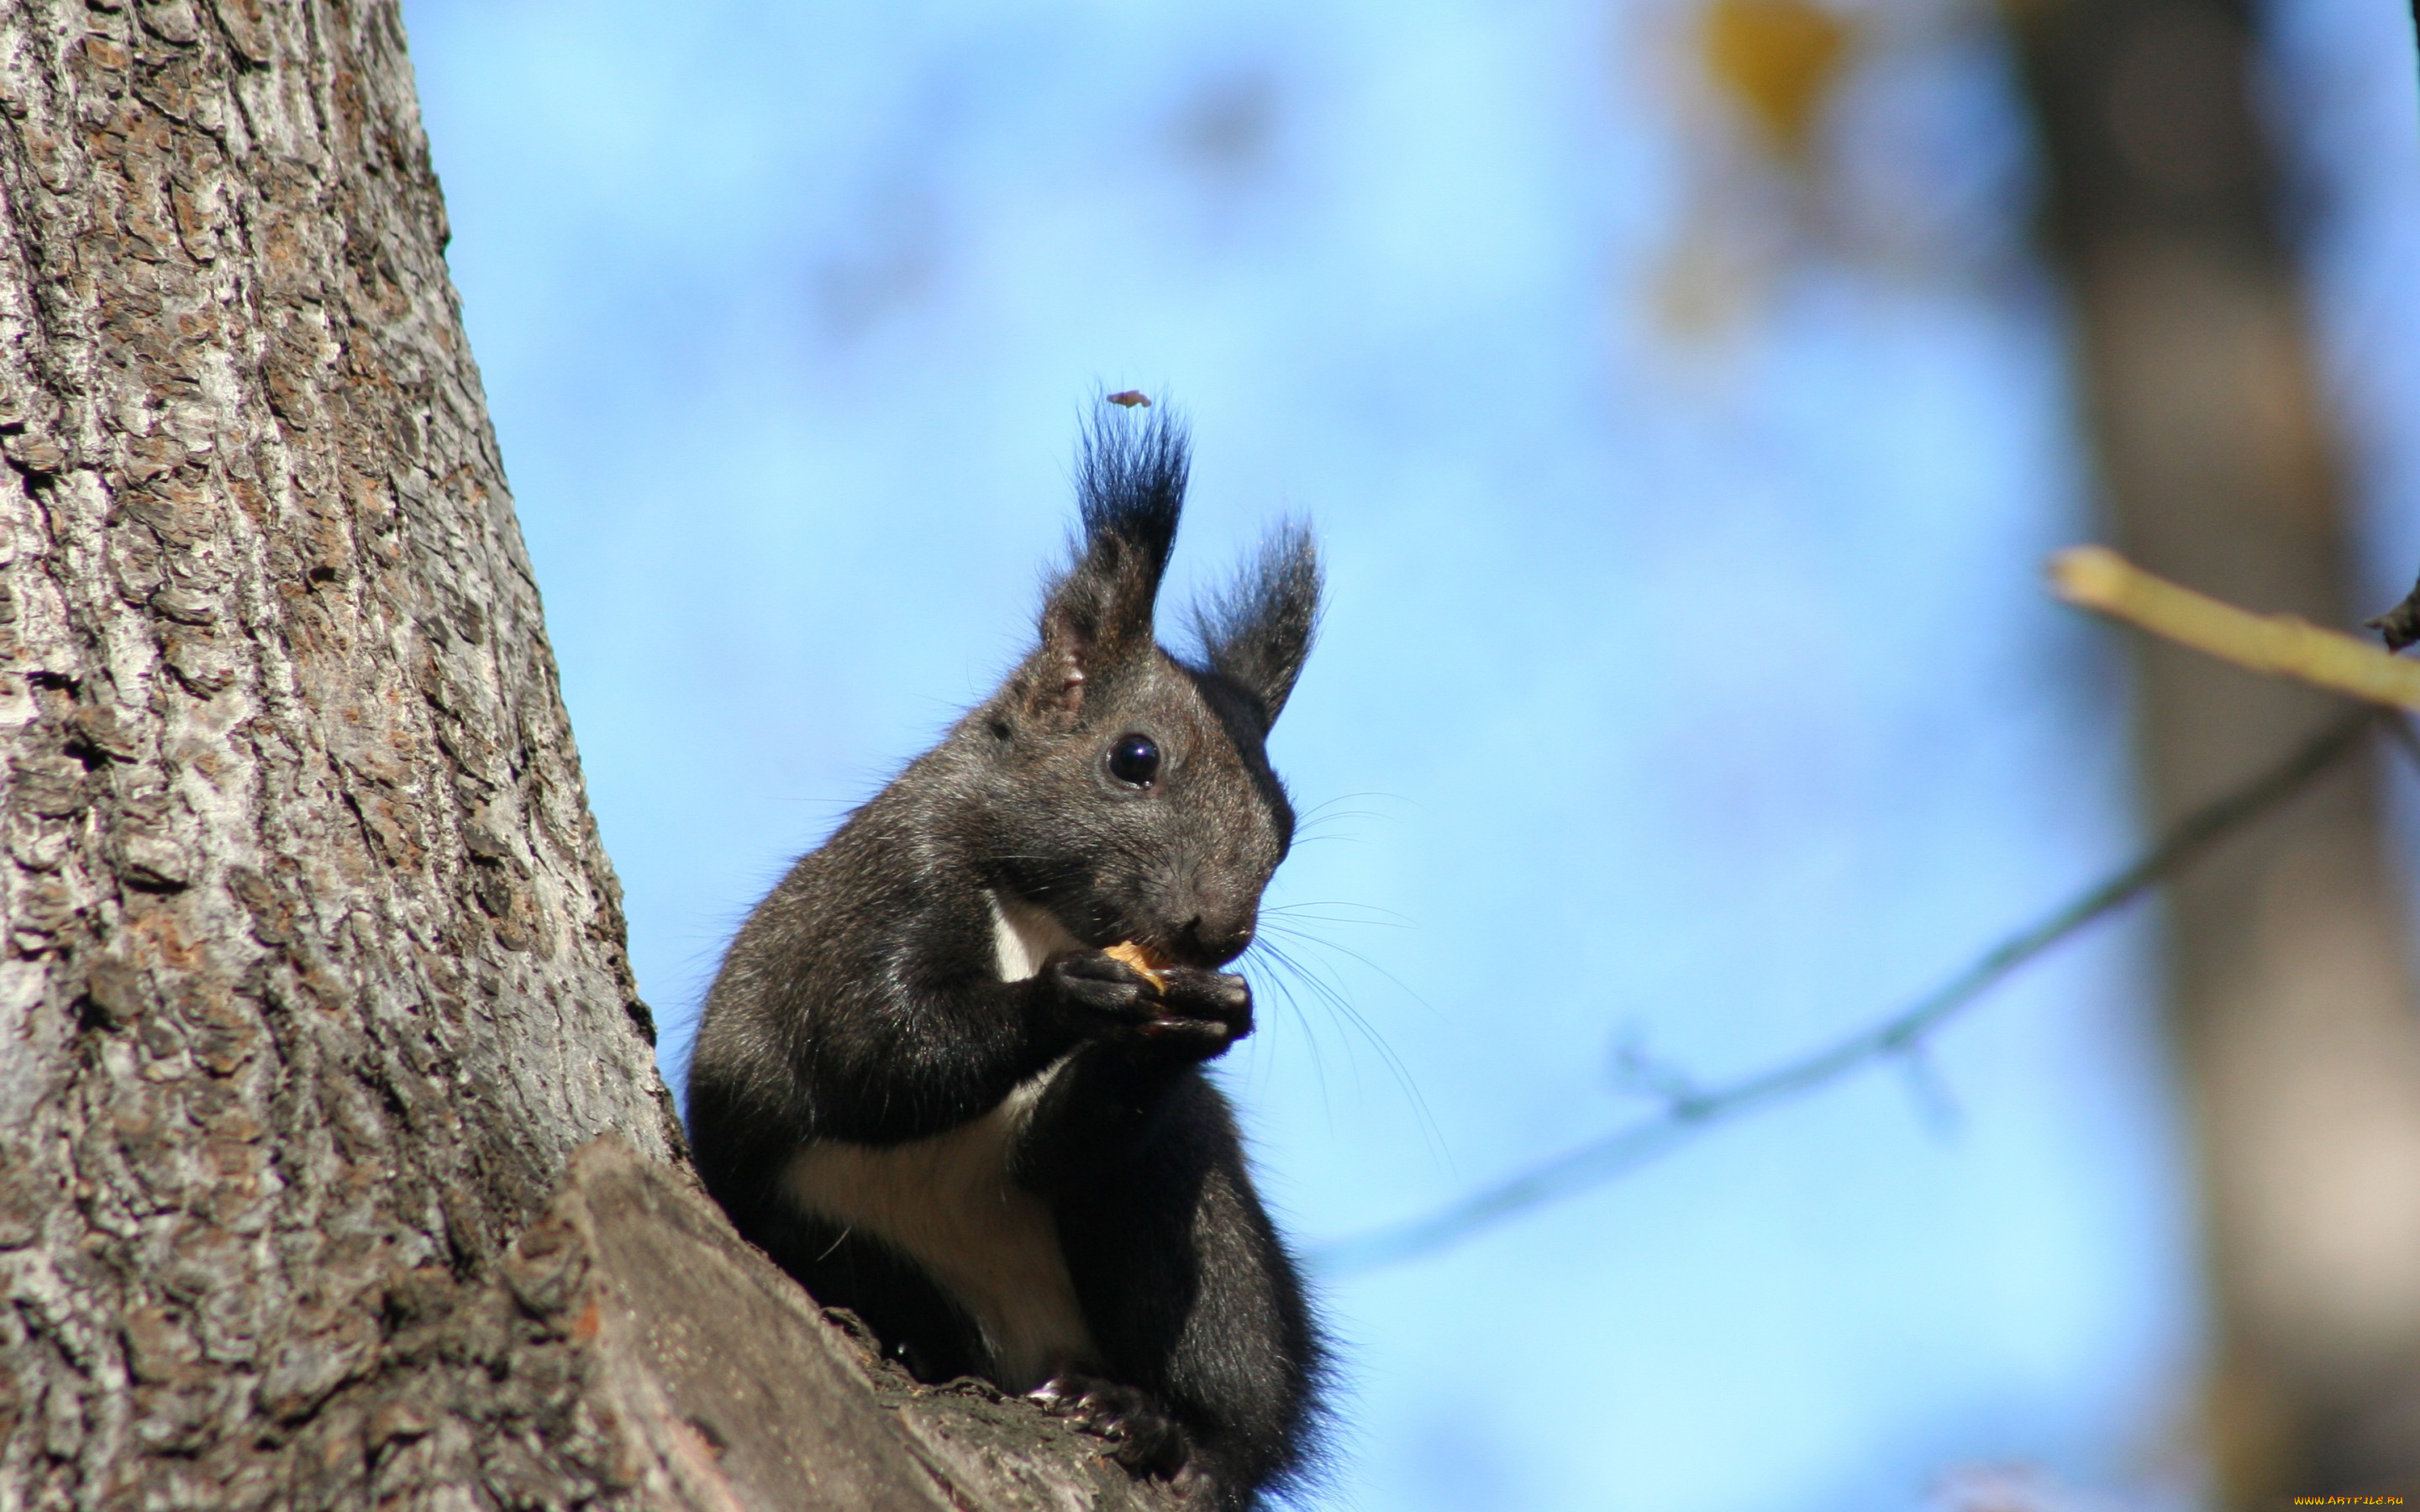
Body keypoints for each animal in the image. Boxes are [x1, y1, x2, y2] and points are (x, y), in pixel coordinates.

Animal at [682, 403, 1326, 1509]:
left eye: (1285, 827)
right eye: (1135, 759)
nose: (1219, 932)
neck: (1046, 916)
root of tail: (1037, 1356)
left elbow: (1053, 1146)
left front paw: (1189, 1030)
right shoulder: (873, 902)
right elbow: (878, 1049)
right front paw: (1071, 1001)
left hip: (1205, 1246)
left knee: (1236, 1408)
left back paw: (1161, 1425)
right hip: (848, 1248)